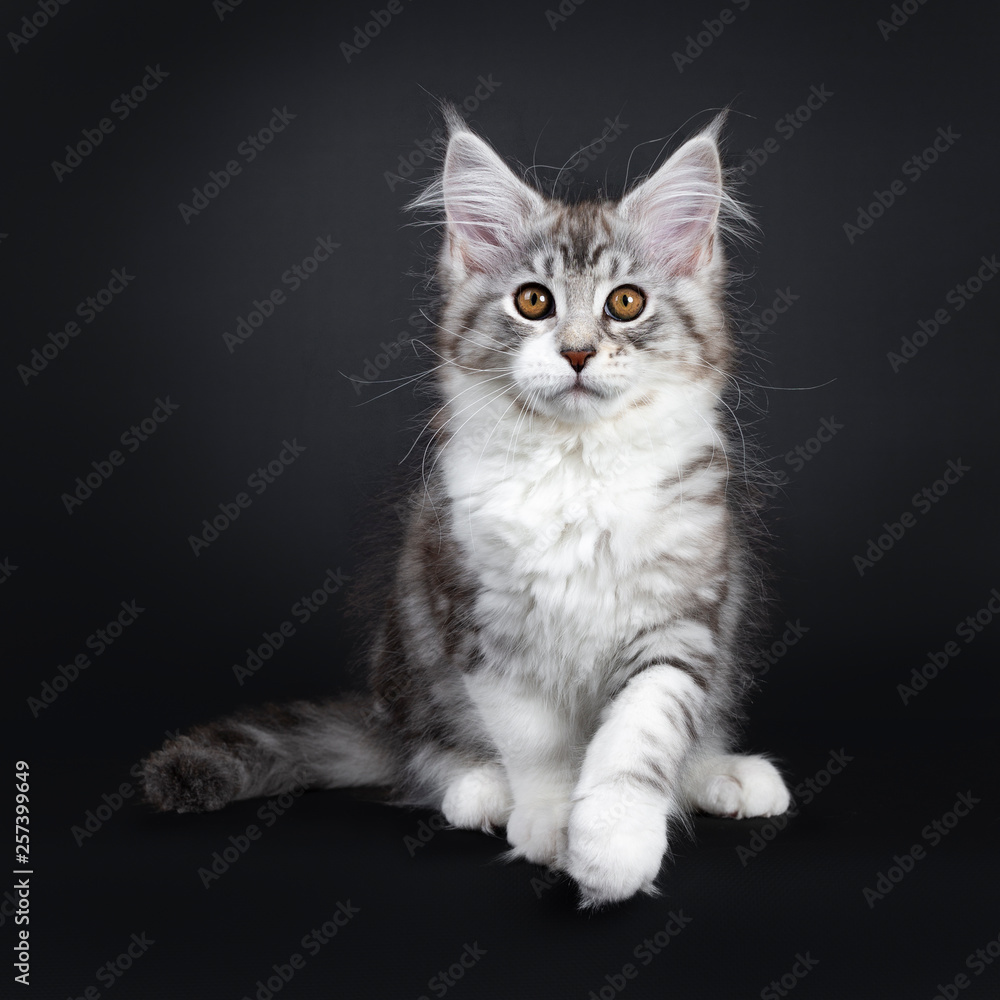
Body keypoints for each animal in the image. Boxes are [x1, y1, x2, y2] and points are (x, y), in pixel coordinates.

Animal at [145, 107, 792, 908]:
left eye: (626, 303)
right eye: (534, 301)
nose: (577, 352)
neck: (577, 467)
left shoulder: (683, 615)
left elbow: (641, 733)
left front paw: (612, 844)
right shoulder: (476, 613)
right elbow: (536, 741)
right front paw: (549, 824)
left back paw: (722, 774)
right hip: (409, 653)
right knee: (421, 756)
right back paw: (478, 789)